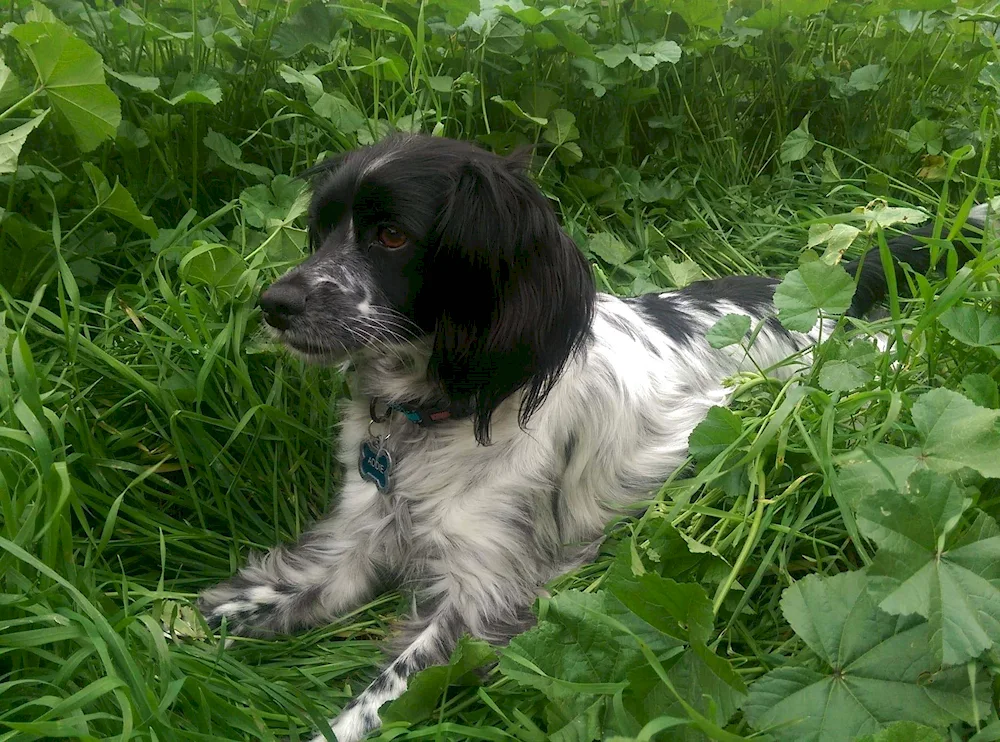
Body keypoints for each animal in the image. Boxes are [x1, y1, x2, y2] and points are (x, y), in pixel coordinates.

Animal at [197, 135, 992, 742]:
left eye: (392, 235)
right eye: (319, 231)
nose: (274, 303)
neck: (437, 415)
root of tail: (816, 297)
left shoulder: (487, 593)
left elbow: (385, 692)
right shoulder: (362, 535)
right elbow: (282, 590)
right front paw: (194, 625)